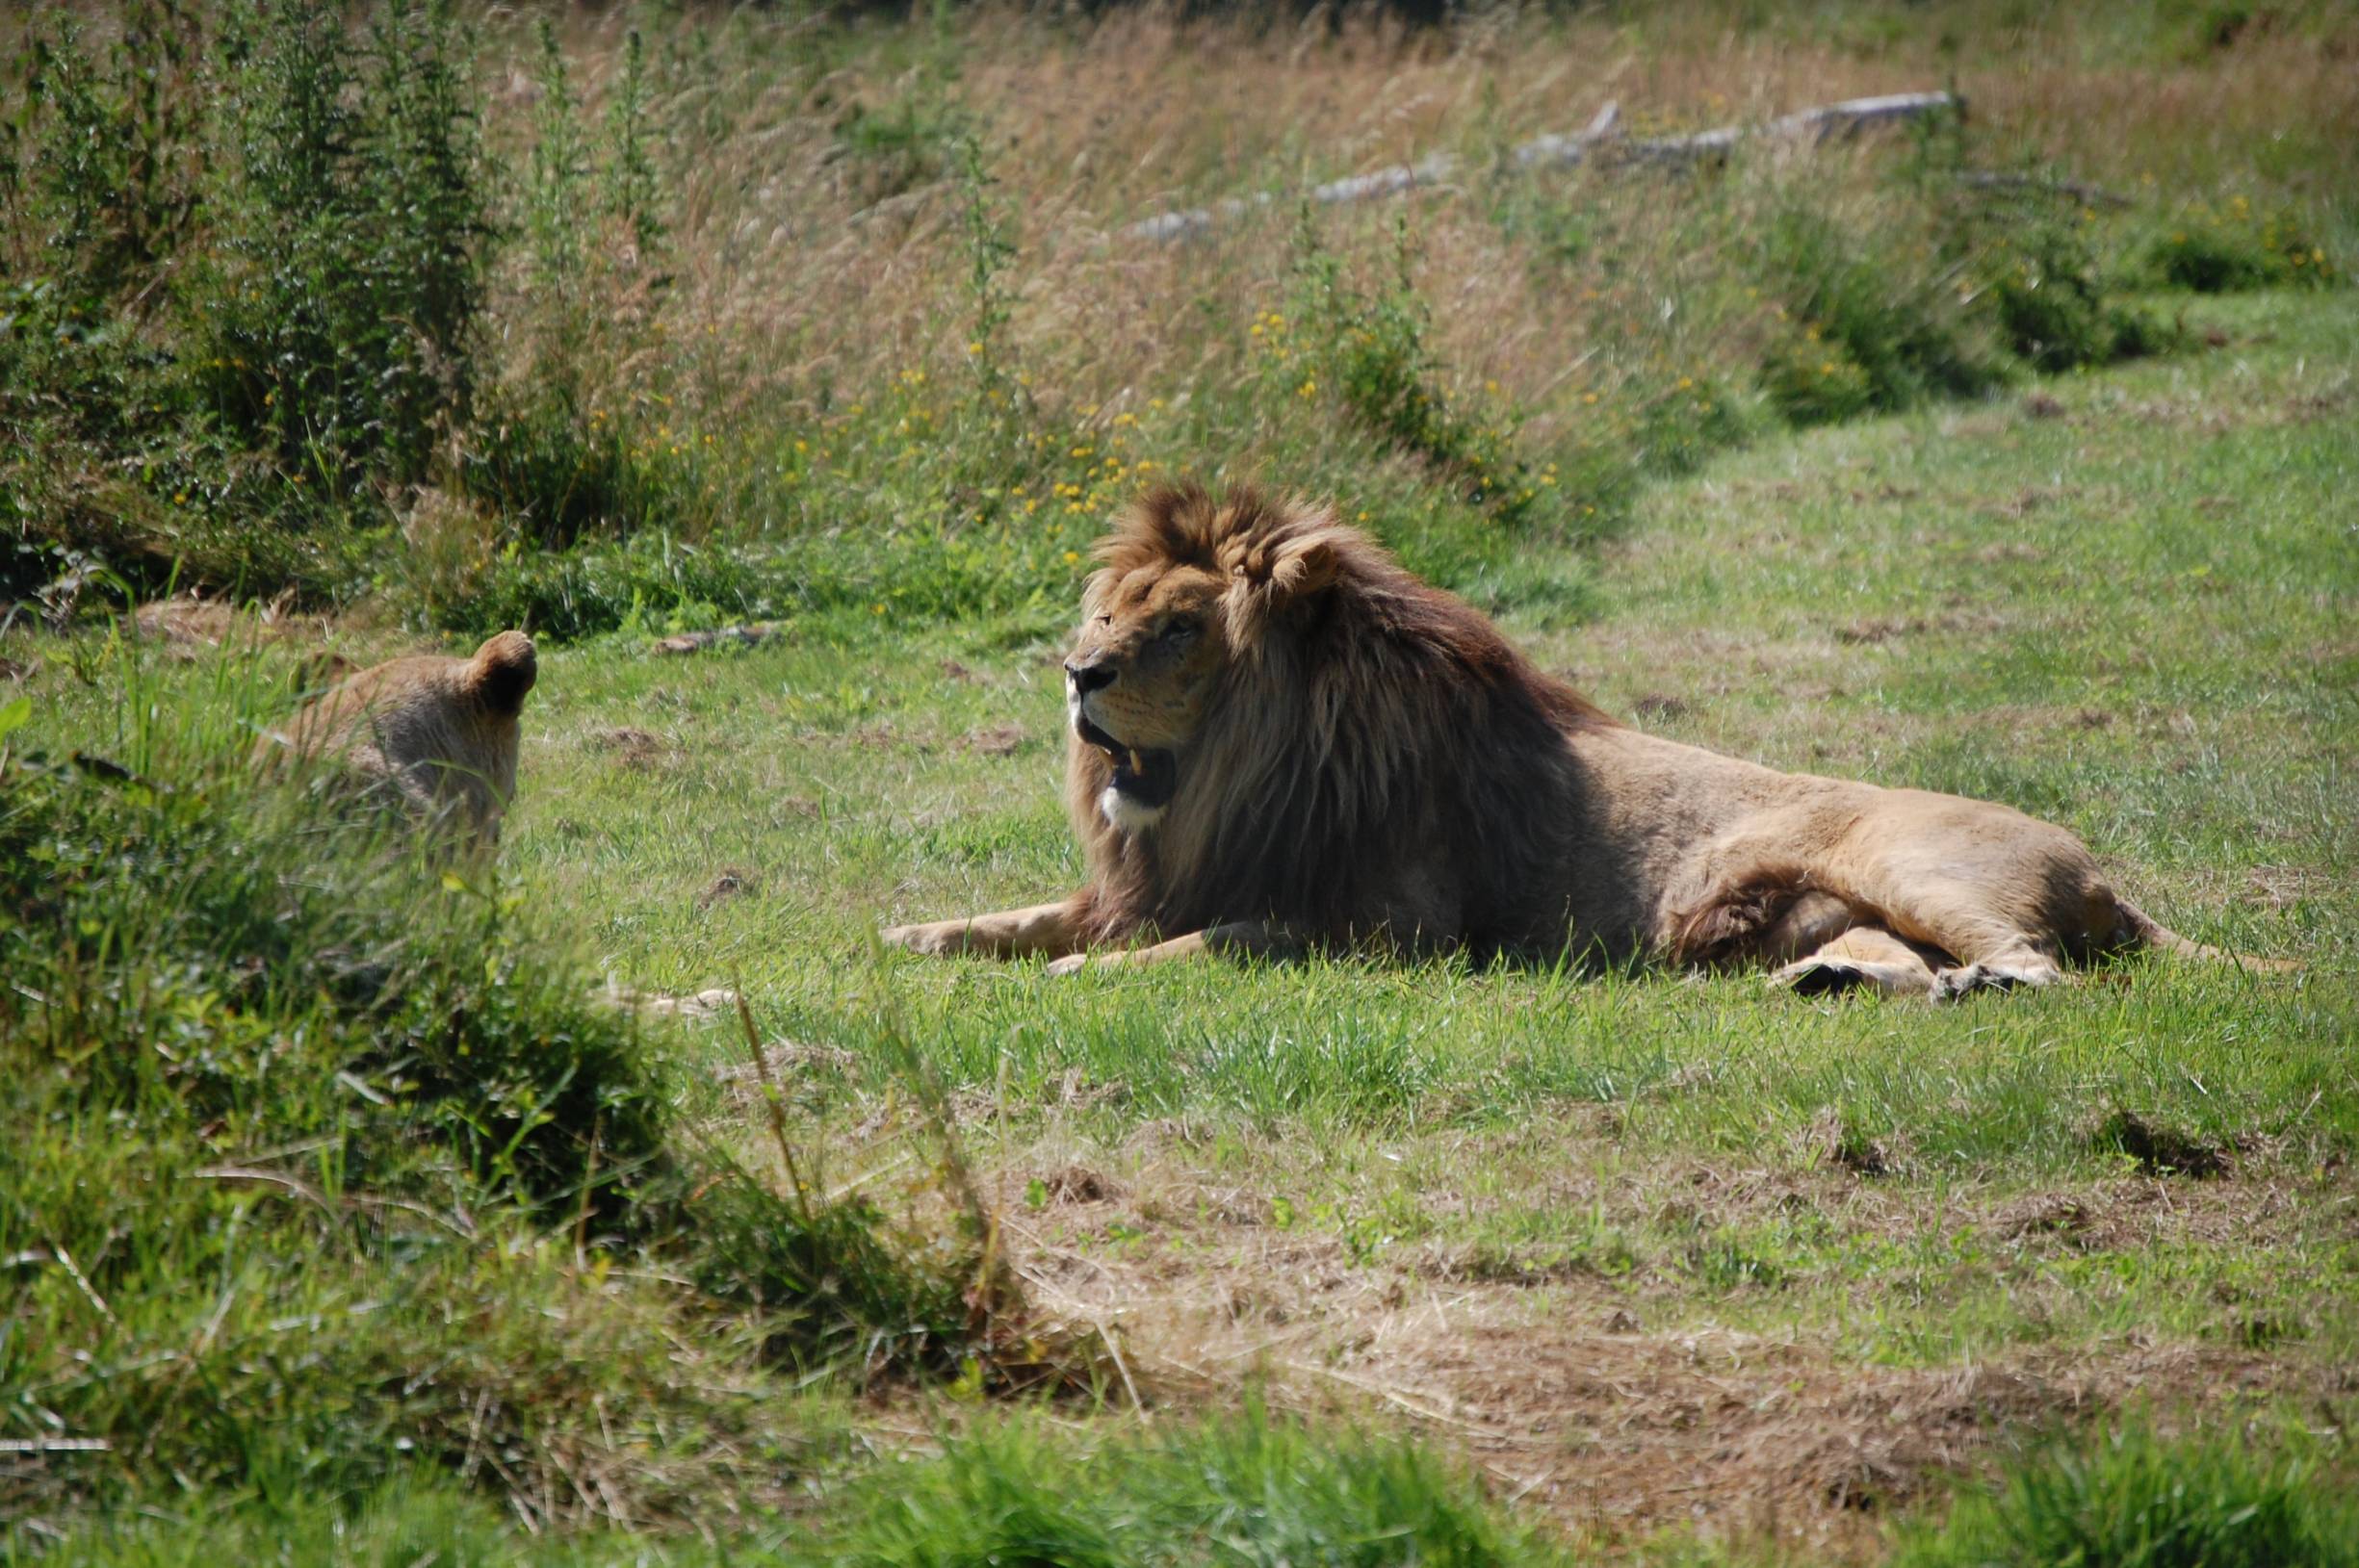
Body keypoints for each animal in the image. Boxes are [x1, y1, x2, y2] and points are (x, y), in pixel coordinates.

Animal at [887, 483, 2245, 994]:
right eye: (1104, 615)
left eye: (1174, 630)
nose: (1078, 676)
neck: (1234, 777)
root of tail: (2100, 874)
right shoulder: (1151, 881)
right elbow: (1012, 916)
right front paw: (908, 940)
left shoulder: (1388, 929)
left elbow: (1207, 943)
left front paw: (1066, 980)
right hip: (1850, 911)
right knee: (1910, 962)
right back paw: (1825, 984)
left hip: (1914, 864)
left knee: (2040, 966)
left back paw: (1978, 983)